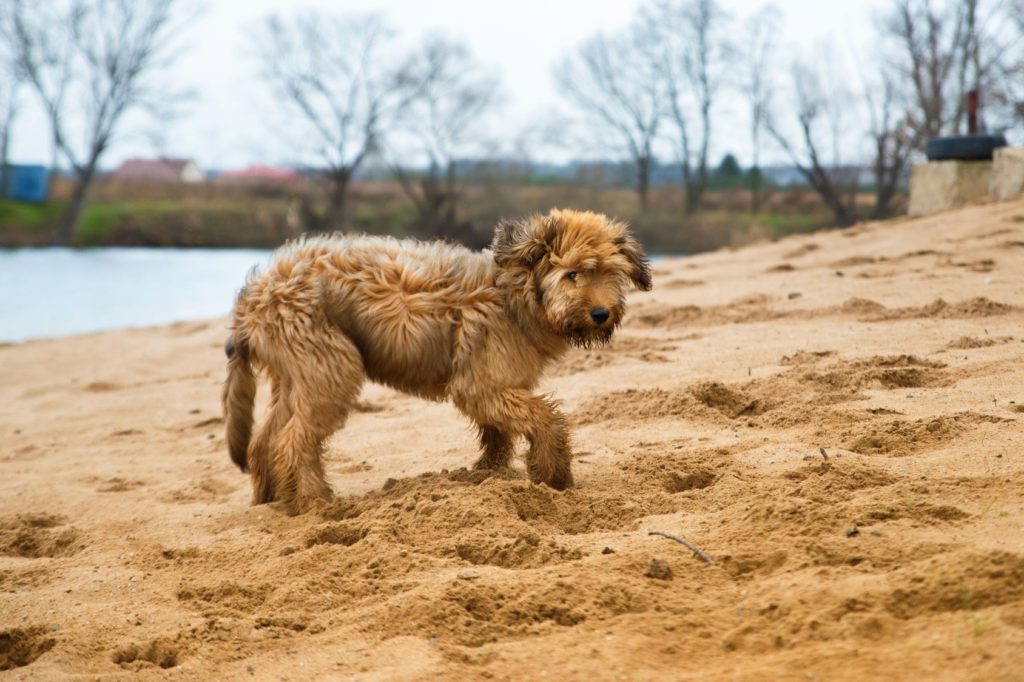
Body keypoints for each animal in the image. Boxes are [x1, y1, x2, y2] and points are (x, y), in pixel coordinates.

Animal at [225, 206, 655, 509]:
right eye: (572, 274)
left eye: (611, 273)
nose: (601, 314)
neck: (514, 294)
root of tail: (253, 295)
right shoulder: (480, 383)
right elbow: (544, 417)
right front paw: (554, 472)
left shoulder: (499, 383)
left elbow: (499, 431)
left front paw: (489, 471)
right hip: (330, 367)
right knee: (292, 441)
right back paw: (314, 501)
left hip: (298, 373)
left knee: (267, 439)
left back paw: (273, 498)